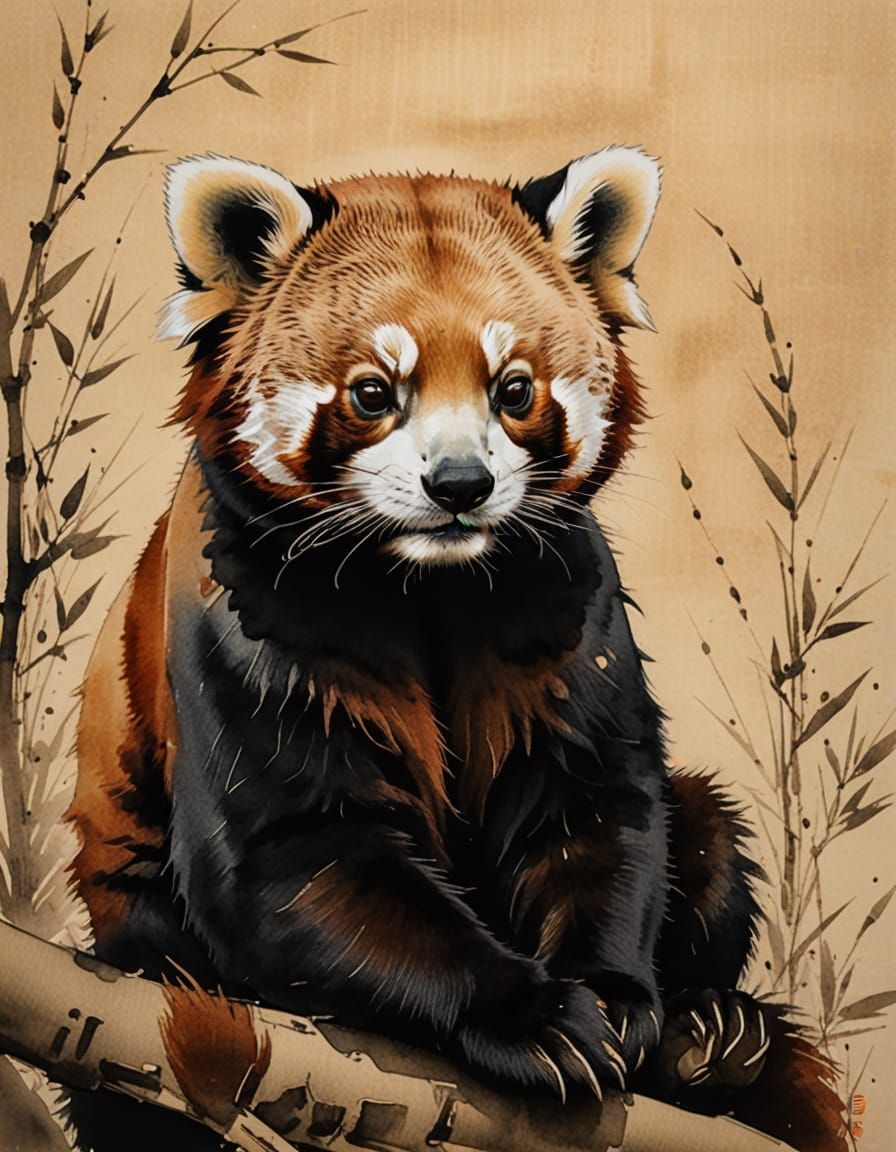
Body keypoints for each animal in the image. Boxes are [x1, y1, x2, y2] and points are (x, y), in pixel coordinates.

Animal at [66, 148, 845, 1151]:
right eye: (372, 392)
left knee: (703, 830)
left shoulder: (566, 599)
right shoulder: (240, 612)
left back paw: (714, 1034)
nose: (461, 484)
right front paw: (536, 1017)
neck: (429, 583)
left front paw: (617, 996)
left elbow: (593, 808)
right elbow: (297, 854)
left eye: (513, 389)